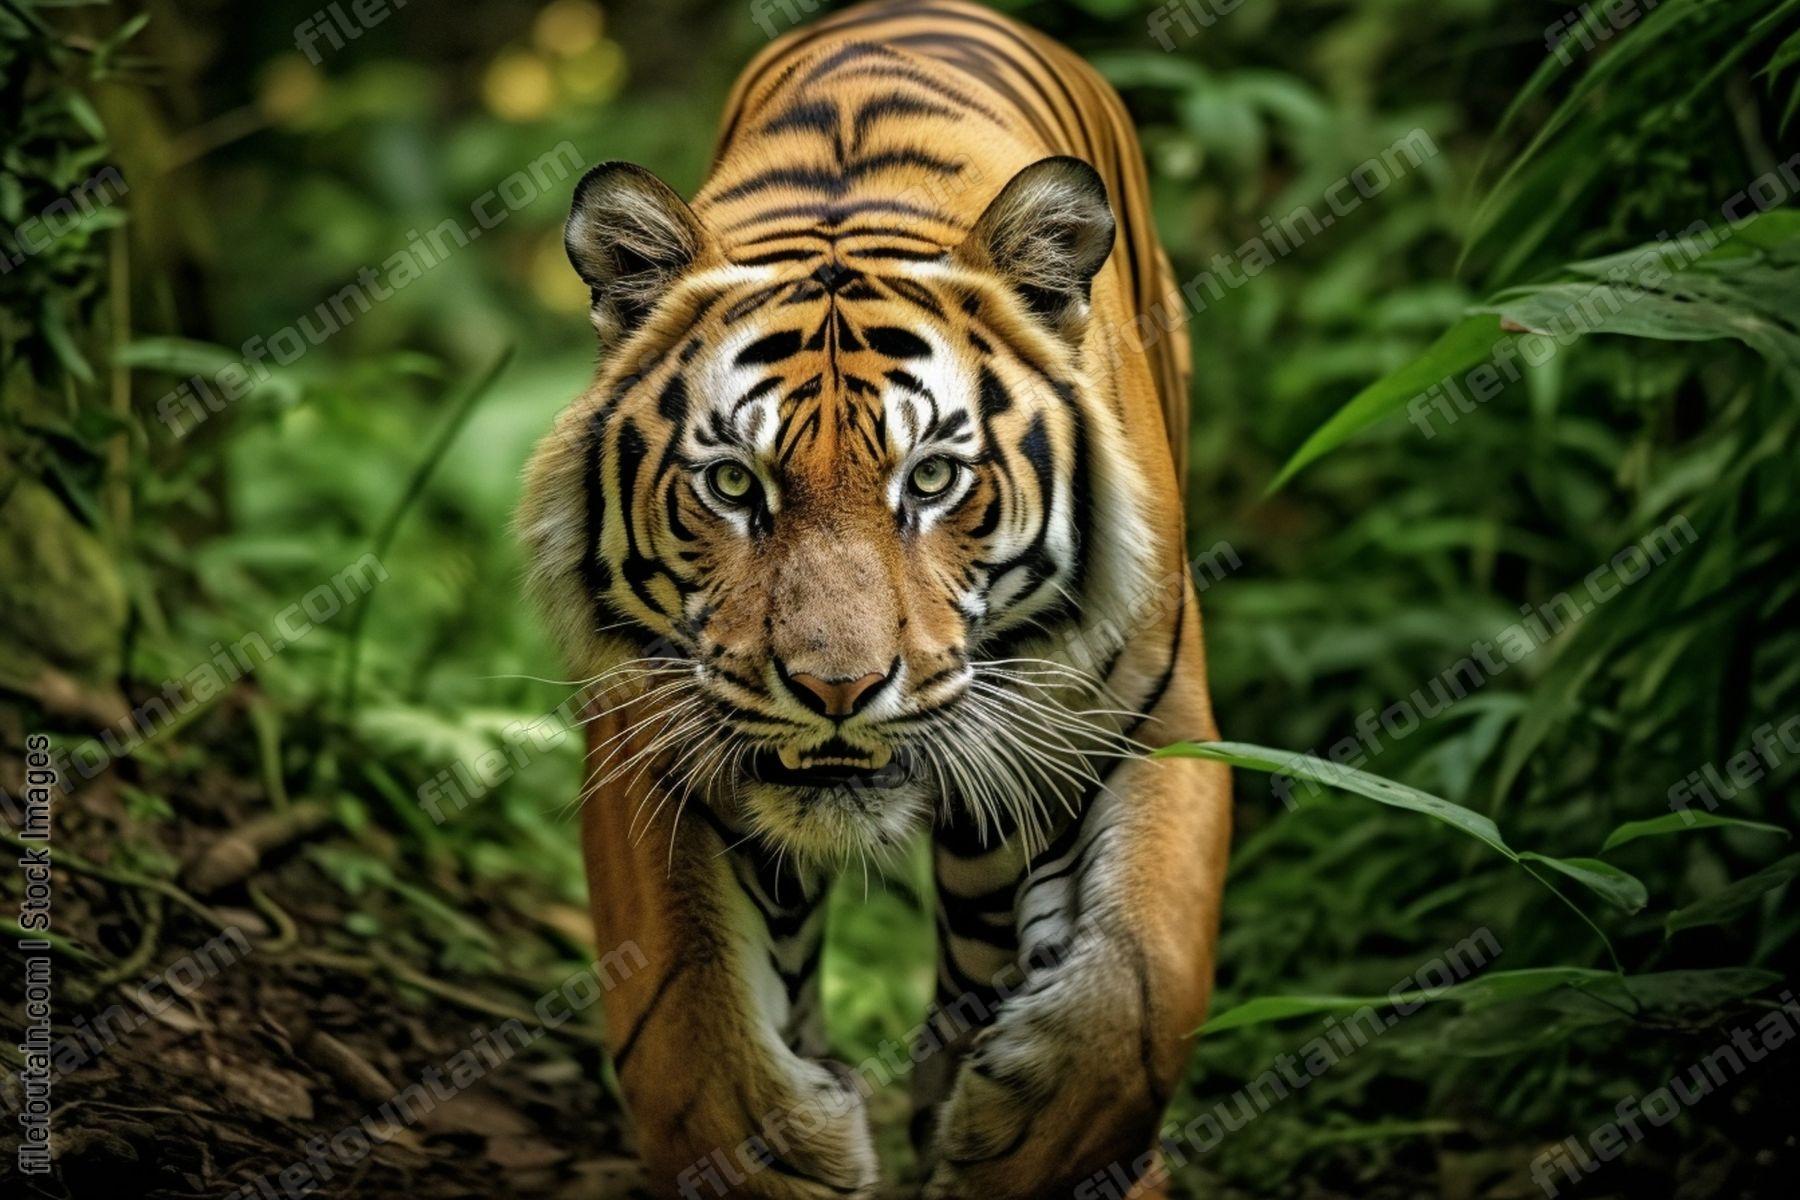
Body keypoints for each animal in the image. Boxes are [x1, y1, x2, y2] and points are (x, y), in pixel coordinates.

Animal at [516, 1, 1231, 1196]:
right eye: (733, 484)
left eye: (932, 478)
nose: (837, 690)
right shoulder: (648, 743)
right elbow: (687, 1027)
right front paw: (790, 1155)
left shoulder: (1156, 718)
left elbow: (1142, 980)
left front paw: (1021, 1148)